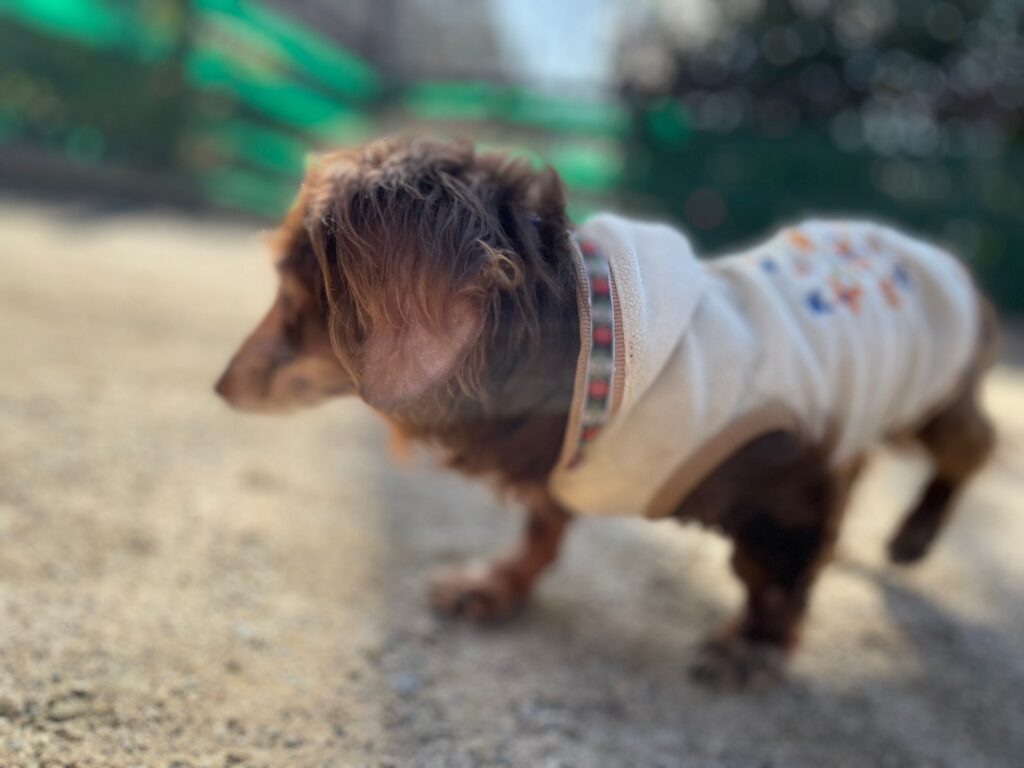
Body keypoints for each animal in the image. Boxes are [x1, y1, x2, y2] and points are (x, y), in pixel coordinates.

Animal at [215, 137, 997, 687]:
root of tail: (934, 253)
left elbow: (775, 576)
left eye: (291, 298)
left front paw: (753, 649)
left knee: (973, 446)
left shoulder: (789, 475)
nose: (219, 386)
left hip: (935, 393)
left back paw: (914, 536)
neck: (588, 362)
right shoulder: (564, 469)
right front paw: (495, 586)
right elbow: (543, 528)